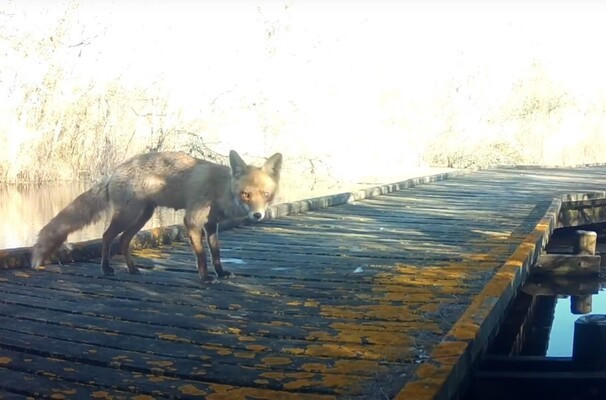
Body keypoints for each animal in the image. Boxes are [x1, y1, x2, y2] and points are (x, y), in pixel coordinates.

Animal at [30, 151, 282, 284]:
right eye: (245, 194)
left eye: (265, 195)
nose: (257, 215)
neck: (220, 188)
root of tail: (113, 171)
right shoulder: (192, 221)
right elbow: (201, 255)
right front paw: (205, 278)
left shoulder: (211, 225)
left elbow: (216, 254)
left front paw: (220, 273)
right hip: (128, 215)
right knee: (107, 236)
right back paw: (106, 268)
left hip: (142, 216)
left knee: (123, 240)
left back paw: (132, 269)